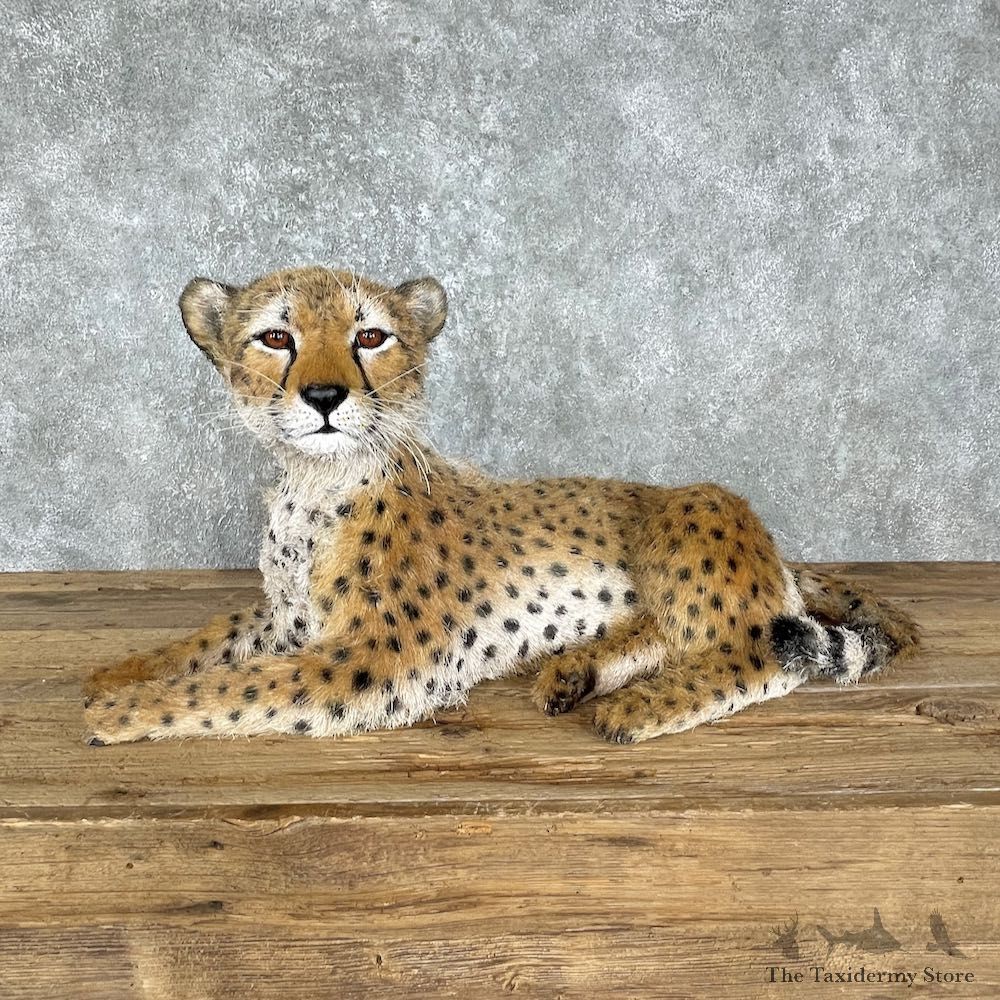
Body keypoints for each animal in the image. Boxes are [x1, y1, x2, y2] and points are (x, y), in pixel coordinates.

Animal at [83, 266, 920, 745]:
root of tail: (773, 545)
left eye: (371, 337)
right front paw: (120, 674)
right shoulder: (289, 618)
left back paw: (636, 709)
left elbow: (235, 686)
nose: (324, 397)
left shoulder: (374, 658)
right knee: (679, 631)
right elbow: (213, 638)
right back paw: (573, 673)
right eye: (276, 337)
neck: (312, 483)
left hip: (691, 518)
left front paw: (119, 714)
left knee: (761, 651)